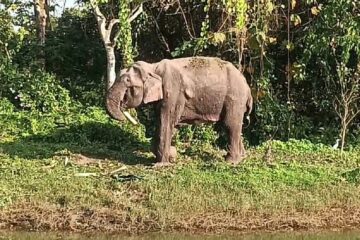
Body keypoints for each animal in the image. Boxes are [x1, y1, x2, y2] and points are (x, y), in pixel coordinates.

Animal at [106, 56, 253, 166]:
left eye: (128, 82)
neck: (153, 67)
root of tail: (247, 86)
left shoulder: (172, 91)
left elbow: (166, 122)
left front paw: (161, 164)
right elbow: (163, 123)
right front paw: (171, 155)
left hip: (234, 99)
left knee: (230, 125)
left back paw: (230, 161)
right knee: (234, 126)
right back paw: (242, 157)